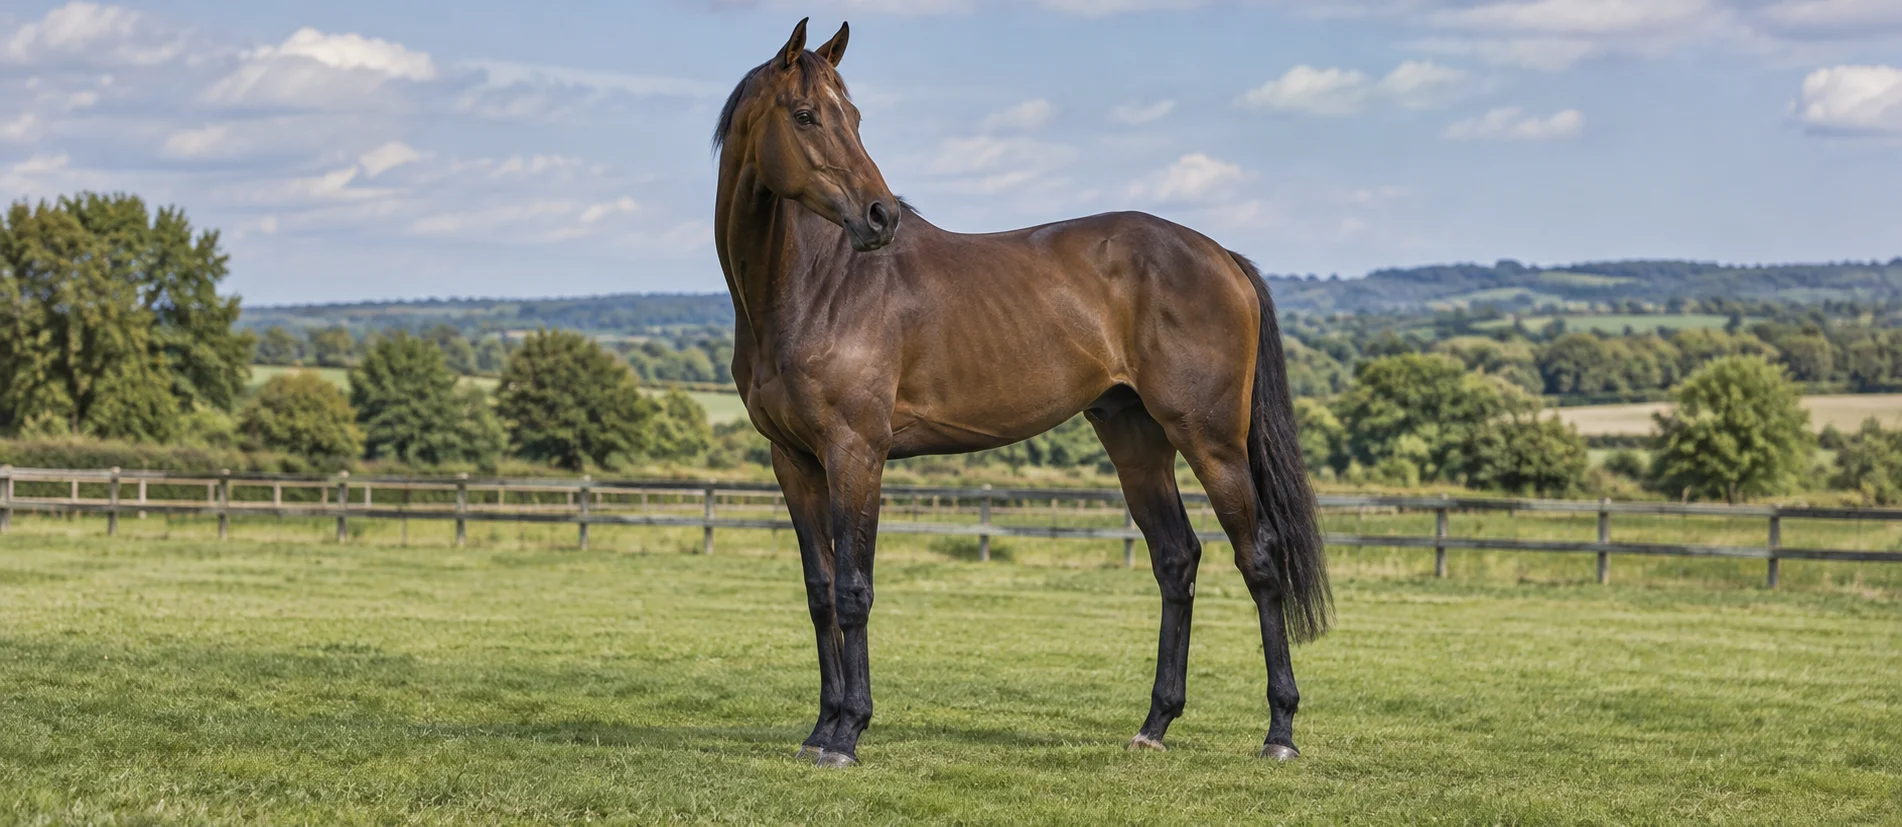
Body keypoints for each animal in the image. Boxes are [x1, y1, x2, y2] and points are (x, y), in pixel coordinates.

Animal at [713, 18, 1330, 768]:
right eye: (805, 115)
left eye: (853, 117)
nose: (880, 216)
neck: (814, 286)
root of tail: (1224, 258)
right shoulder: (794, 462)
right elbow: (820, 593)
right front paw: (820, 728)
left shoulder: (855, 452)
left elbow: (856, 590)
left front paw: (848, 733)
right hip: (1134, 438)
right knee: (1176, 558)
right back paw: (1154, 724)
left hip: (1211, 441)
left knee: (1260, 558)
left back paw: (1280, 732)